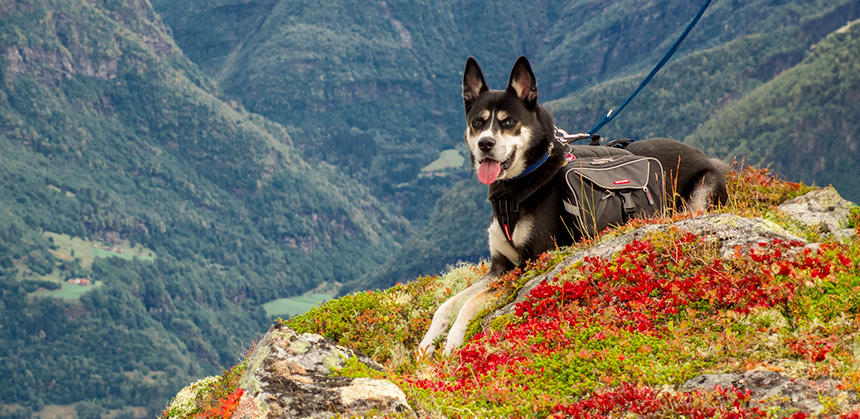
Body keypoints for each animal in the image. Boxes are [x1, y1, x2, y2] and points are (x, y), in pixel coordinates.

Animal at [420, 55, 728, 358]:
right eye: (477, 123)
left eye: (509, 122)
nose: (485, 143)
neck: (520, 184)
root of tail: (706, 156)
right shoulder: (500, 266)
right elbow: (447, 304)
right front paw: (427, 344)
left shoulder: (531, 261)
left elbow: (472, 301)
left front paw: (453, 340)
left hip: (702, 189)